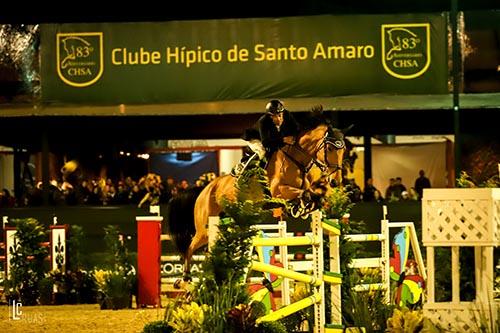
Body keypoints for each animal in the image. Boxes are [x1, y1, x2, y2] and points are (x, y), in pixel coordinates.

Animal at [168, 115, 348, 282]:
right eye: (330, 148)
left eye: (343, 150)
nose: (335, 181)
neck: (297, 160)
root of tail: (204, 189)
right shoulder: (278, 191)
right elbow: (303, 193)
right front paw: (300, 207)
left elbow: (311, 196)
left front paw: (301, 209)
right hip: (204, 229)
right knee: (190, 248)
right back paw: (185, 278)